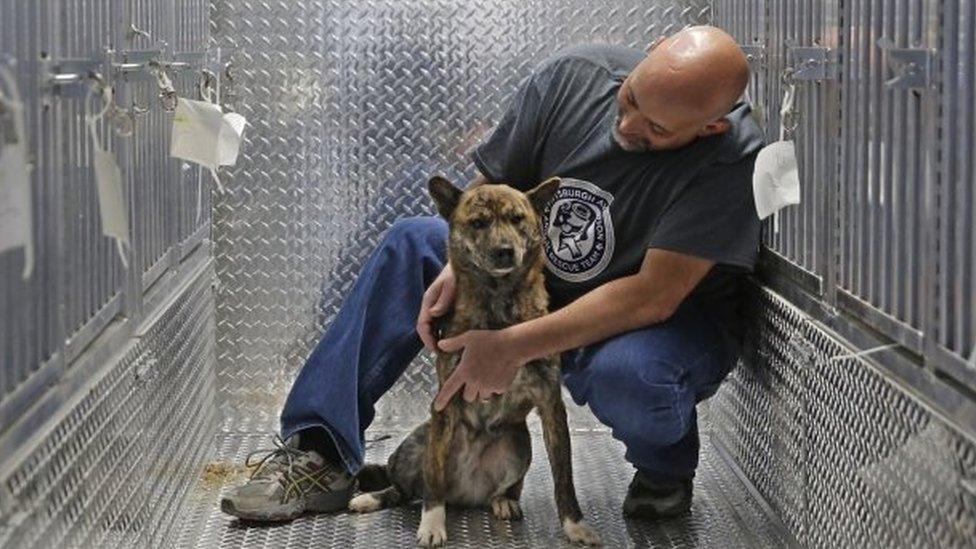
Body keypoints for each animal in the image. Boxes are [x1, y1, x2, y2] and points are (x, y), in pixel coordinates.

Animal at [346, 178, 600, 544]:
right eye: (478, 223)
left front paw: (574, 525)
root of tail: (464, 494)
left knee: (503, 489)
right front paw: (432, 524)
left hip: (519, 442)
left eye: (517, 219)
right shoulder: (445, 400)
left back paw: (504, 501)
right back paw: (371, 498)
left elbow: (563, 477)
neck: (500, 304)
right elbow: (433, 479)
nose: (505, 250)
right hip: (416, 445)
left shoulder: (551, 404)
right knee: (406, 490)